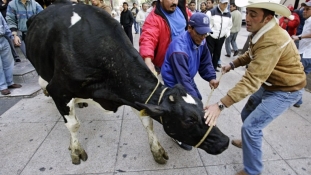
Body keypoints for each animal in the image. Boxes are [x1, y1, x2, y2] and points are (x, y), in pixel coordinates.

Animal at [25, 0, 230, 165]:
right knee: (43, 82)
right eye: (189, 120)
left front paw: (157, 150)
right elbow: (73, 125)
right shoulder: (60, 90)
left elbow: (148, 122)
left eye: (202, 106)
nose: (225, 141)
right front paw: (75, 150)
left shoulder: (133, 96)